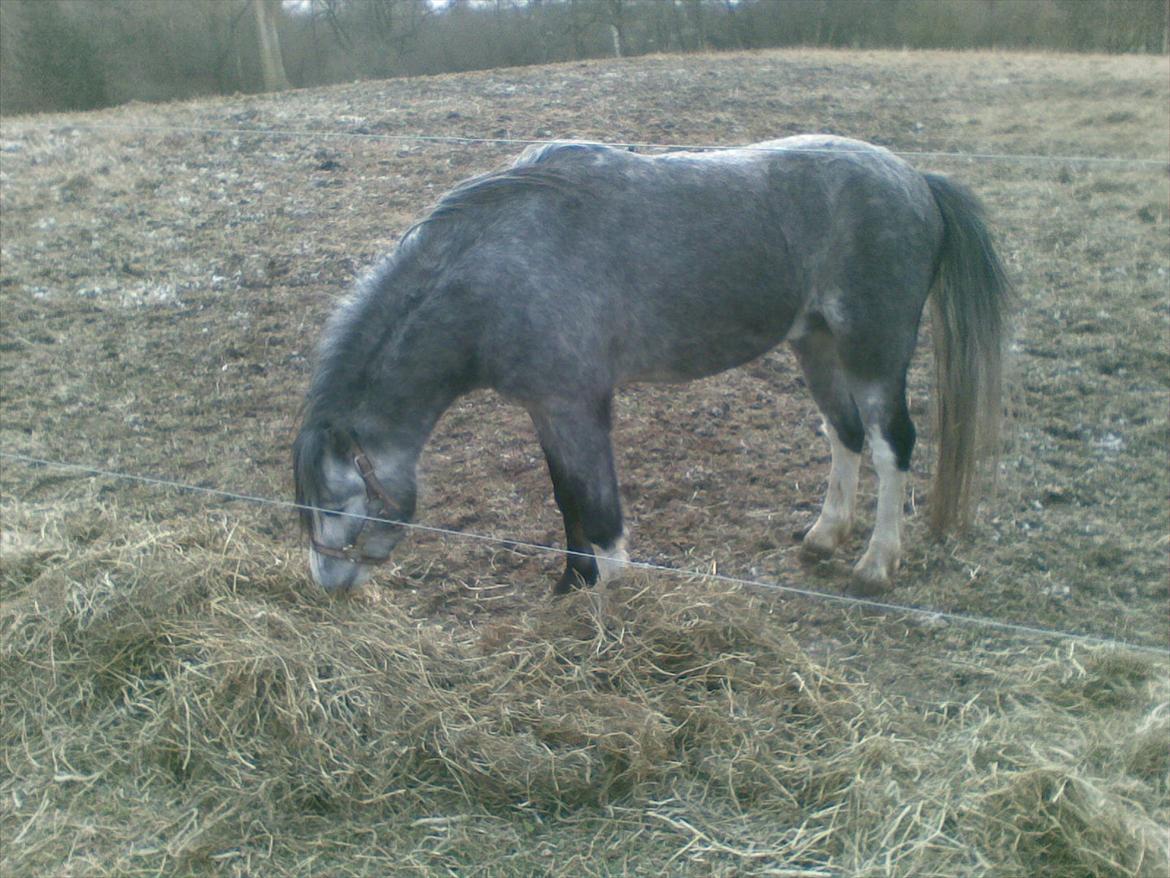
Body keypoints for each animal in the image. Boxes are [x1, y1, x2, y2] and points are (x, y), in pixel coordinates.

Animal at [290, 135, 1006, 599]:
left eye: (340, 502)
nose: (327, 585)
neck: (500, 270)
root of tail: (915, 180)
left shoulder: (579, 408)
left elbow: (599, 511)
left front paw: (605, 593)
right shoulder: (548, 408)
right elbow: (568, 499)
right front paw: (573, 584)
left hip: (872, 350)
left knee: (890, 445)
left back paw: (876, 564)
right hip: (817, 345)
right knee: (845, 434)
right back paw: (825, 537)